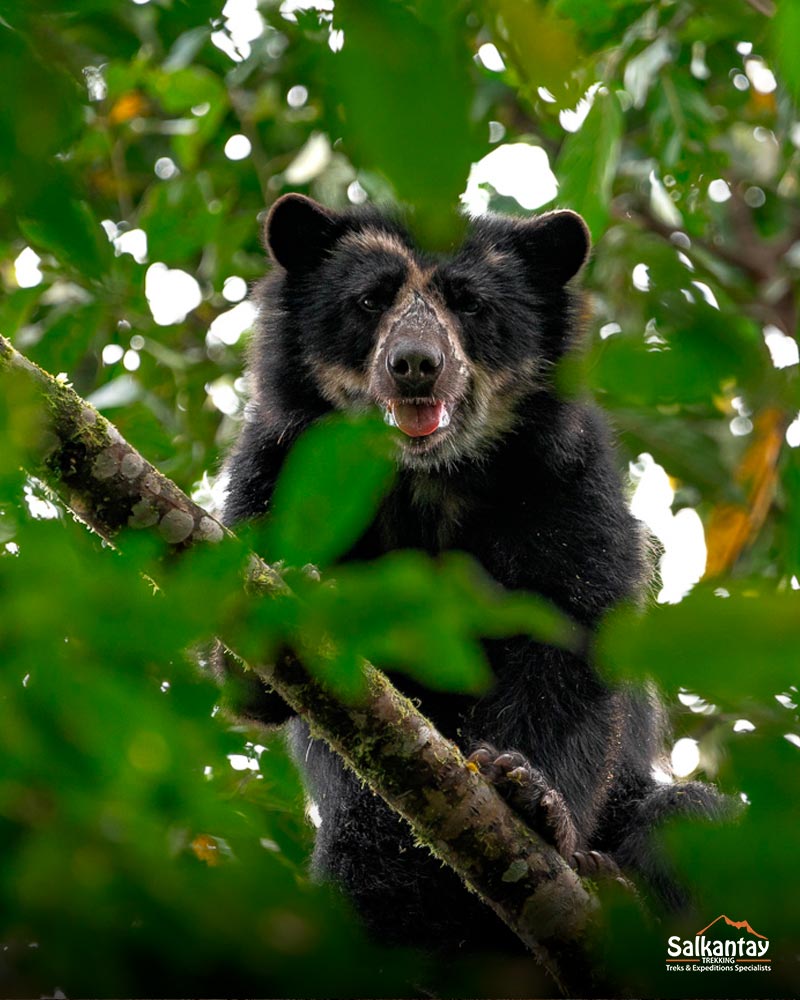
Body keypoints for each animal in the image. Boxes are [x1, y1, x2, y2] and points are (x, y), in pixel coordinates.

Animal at [219, 191, 724, 948]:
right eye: (370, 300)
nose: (415, 364)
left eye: (471, 304)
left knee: (688, 819)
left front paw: (532, 800)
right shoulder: (273, 471)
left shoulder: (566, 481)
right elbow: (250, 680)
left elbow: (569, 642)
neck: (430, 479)